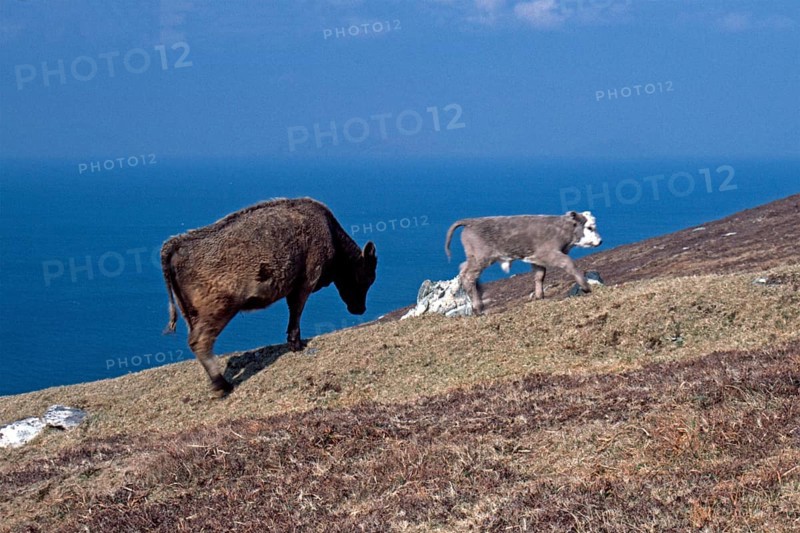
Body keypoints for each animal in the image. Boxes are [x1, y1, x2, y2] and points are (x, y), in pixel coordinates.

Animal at [161, 198, 377, 395]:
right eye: (367, 276)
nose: (360, 309)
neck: (329, 232)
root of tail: (176, 245)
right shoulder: (305, 282)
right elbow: (296, 311)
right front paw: (296, 344)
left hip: (190, 313)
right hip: (219, 308)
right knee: (200, 341)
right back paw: (222, 385)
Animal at [445, 211, 602, 314]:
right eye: (589, 227)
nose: (600, 241)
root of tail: (471, 221)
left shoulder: (537, 259)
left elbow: (539, 276)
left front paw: (539, 296)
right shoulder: (549, 254)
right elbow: (569, 263)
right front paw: (585, 286)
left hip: (474, 258)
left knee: (463, 270)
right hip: (481, 258)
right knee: (468, 276)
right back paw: (478, 308)